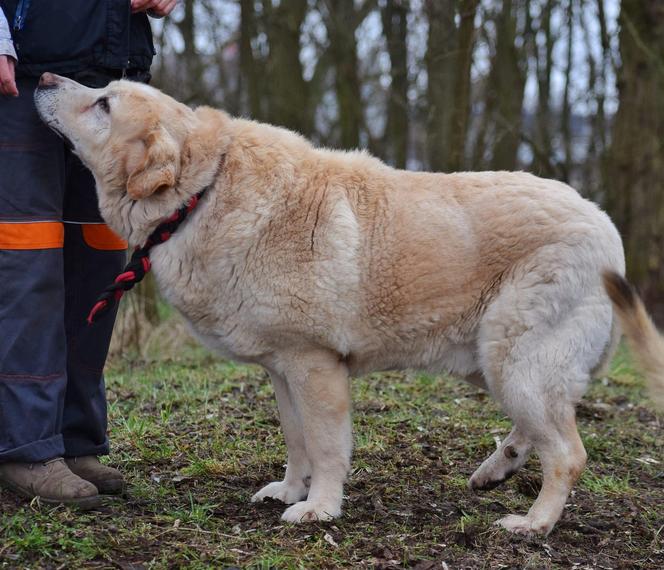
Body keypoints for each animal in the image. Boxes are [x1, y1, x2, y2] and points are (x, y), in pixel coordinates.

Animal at [36, 73, 664, 536]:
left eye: (104, 104)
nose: (42, 76)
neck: (202, 194)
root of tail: (606, 229)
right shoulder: (283, 369)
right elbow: (296, 441)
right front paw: (290, 490)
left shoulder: (316, 366)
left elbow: (326, 445)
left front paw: (319, 508)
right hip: (498, 361)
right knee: (541, 429)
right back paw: (496, 470)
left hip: (515, 357)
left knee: (568, 453)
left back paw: (534, 524)